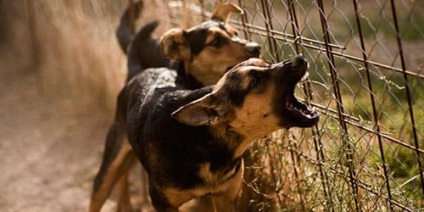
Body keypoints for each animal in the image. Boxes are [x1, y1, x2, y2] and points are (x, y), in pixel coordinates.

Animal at [91, 55, 320, 211]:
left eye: (265, 63)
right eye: (254, 81)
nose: (300, 58)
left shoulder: (225, 198)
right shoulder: (163, 204)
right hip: (108, 168)